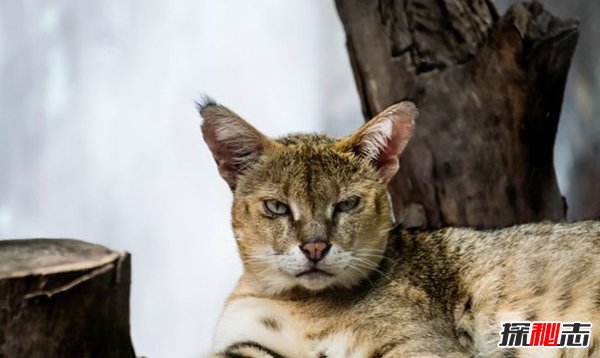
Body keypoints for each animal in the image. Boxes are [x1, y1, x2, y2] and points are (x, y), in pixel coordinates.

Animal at [200, 98, 600, 358]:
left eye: (347, 204)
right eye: (277, 207)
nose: (315, 248)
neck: (301, 303)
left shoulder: (424, 349)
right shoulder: (246, 344)